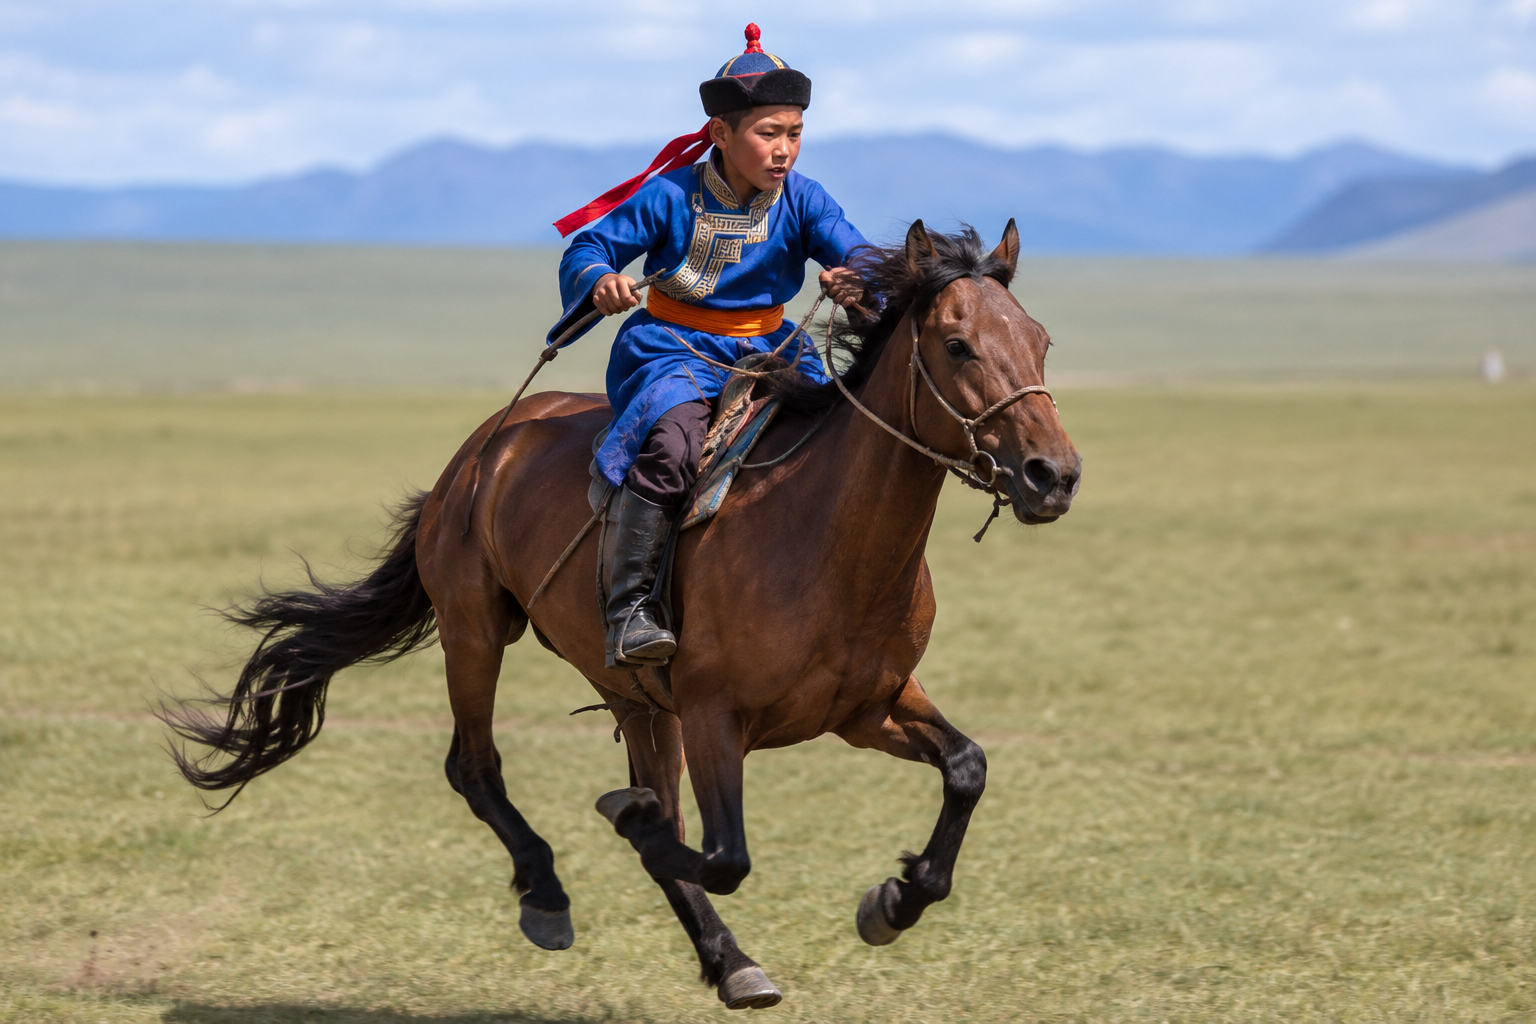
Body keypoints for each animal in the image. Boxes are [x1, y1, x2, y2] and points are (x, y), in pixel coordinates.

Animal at [163, 220, 1082, 1010]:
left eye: (1039, 341)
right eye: (958, 345)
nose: (1053, 475)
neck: (825, 535)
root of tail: (485, 446)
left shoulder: (868, 707)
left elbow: (966, 769)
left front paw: (893, 901)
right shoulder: (715, 716)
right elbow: (721, 854)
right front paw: (626, 819)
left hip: (638, 699)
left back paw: (729, 960)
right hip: (477, 631)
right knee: (476, 767)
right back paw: (549, 891)